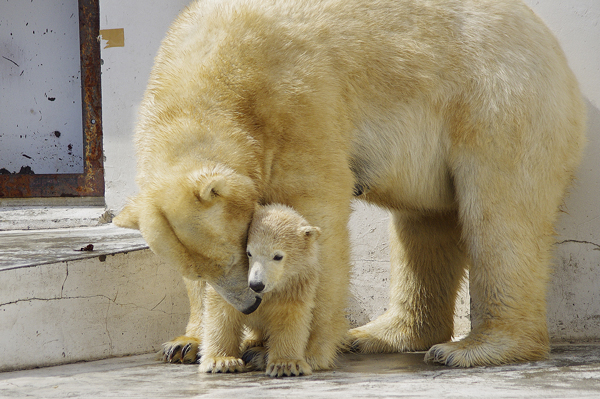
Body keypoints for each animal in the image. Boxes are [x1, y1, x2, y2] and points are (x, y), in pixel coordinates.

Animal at [113, 0, 584, 368]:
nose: (250, 302)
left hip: (496, 100)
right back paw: (379, 334)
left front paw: (286, 350)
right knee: (423, 223)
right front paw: (185, 344)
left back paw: (470, 348)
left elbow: (315, 216)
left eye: (236, 255)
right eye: (204, 268)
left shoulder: (298, 101)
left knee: (500, 215)